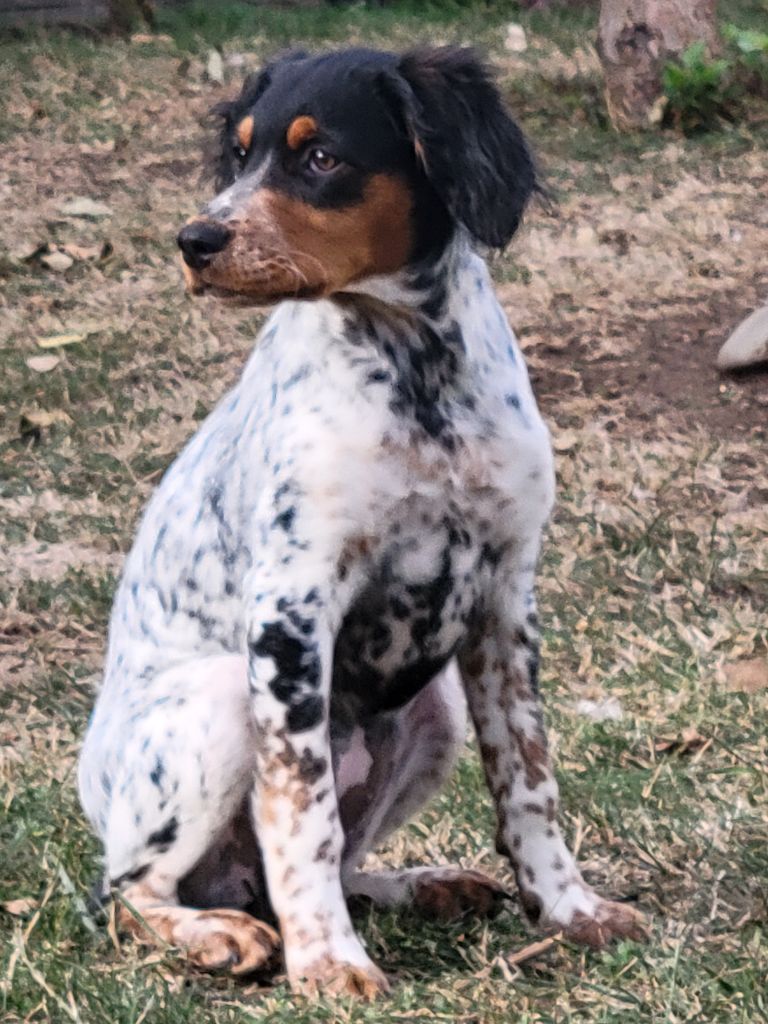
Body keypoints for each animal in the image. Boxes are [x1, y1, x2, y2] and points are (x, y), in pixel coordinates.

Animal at [78, 44, 647, 995]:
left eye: (320, 157)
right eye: (240, 155)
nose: (195, 241)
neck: (419, 379)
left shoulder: (506, 597)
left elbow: (528, 778)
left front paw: (569, 909)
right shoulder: (290, 609)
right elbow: (299, 807)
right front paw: (328, 961)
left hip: (435, 711)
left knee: (341, 860)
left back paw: (420, 885)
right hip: (218, 700)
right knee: (129, 892)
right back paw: (218, 933)